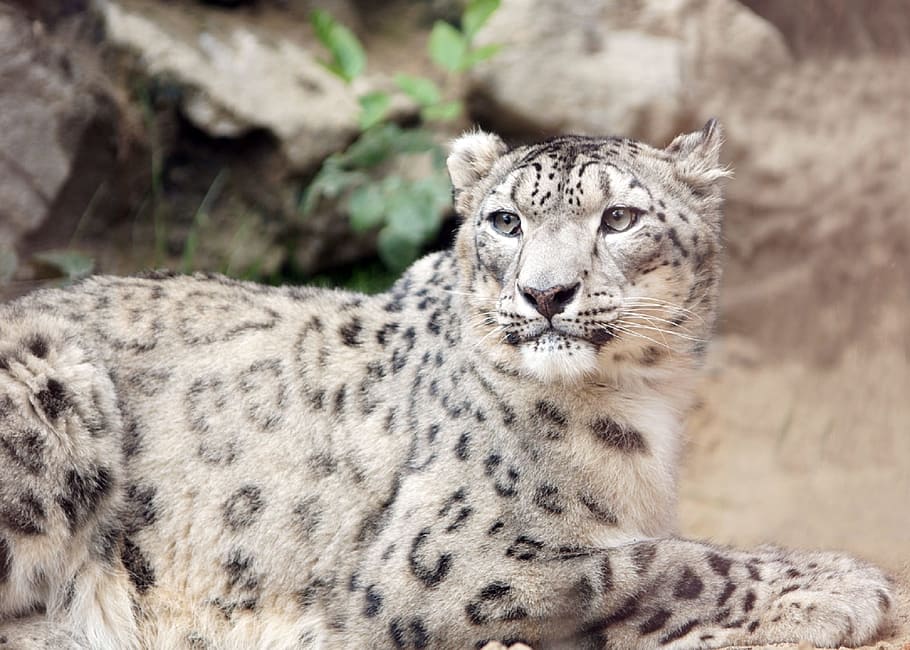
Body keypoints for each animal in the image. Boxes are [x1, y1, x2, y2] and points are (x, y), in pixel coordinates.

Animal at [0, 121, 893, 649]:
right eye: (506, 221)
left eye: (619, 219)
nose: (545, 293)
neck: (643, 407)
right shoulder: (447, 556)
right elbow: (652, 563)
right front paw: (842, 585)